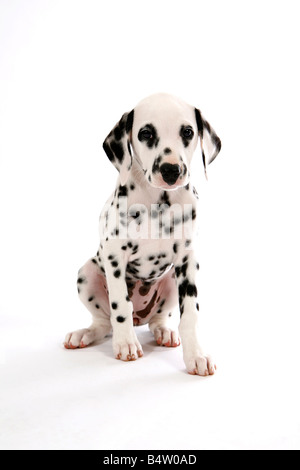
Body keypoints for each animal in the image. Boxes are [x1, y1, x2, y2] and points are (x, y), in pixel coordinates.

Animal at [65, 93, 220, 376]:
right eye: (146, 133)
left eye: (188, 132)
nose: (171, 170)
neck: (160, 203)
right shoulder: (114, 256)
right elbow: (120, 305)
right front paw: (126, 343)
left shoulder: (188, 260)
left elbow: (190, 314)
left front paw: (196, 355)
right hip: (87, 273)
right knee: (104, 322)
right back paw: (86, 334)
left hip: (170, 280)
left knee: (157, 320)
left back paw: (165, 332)